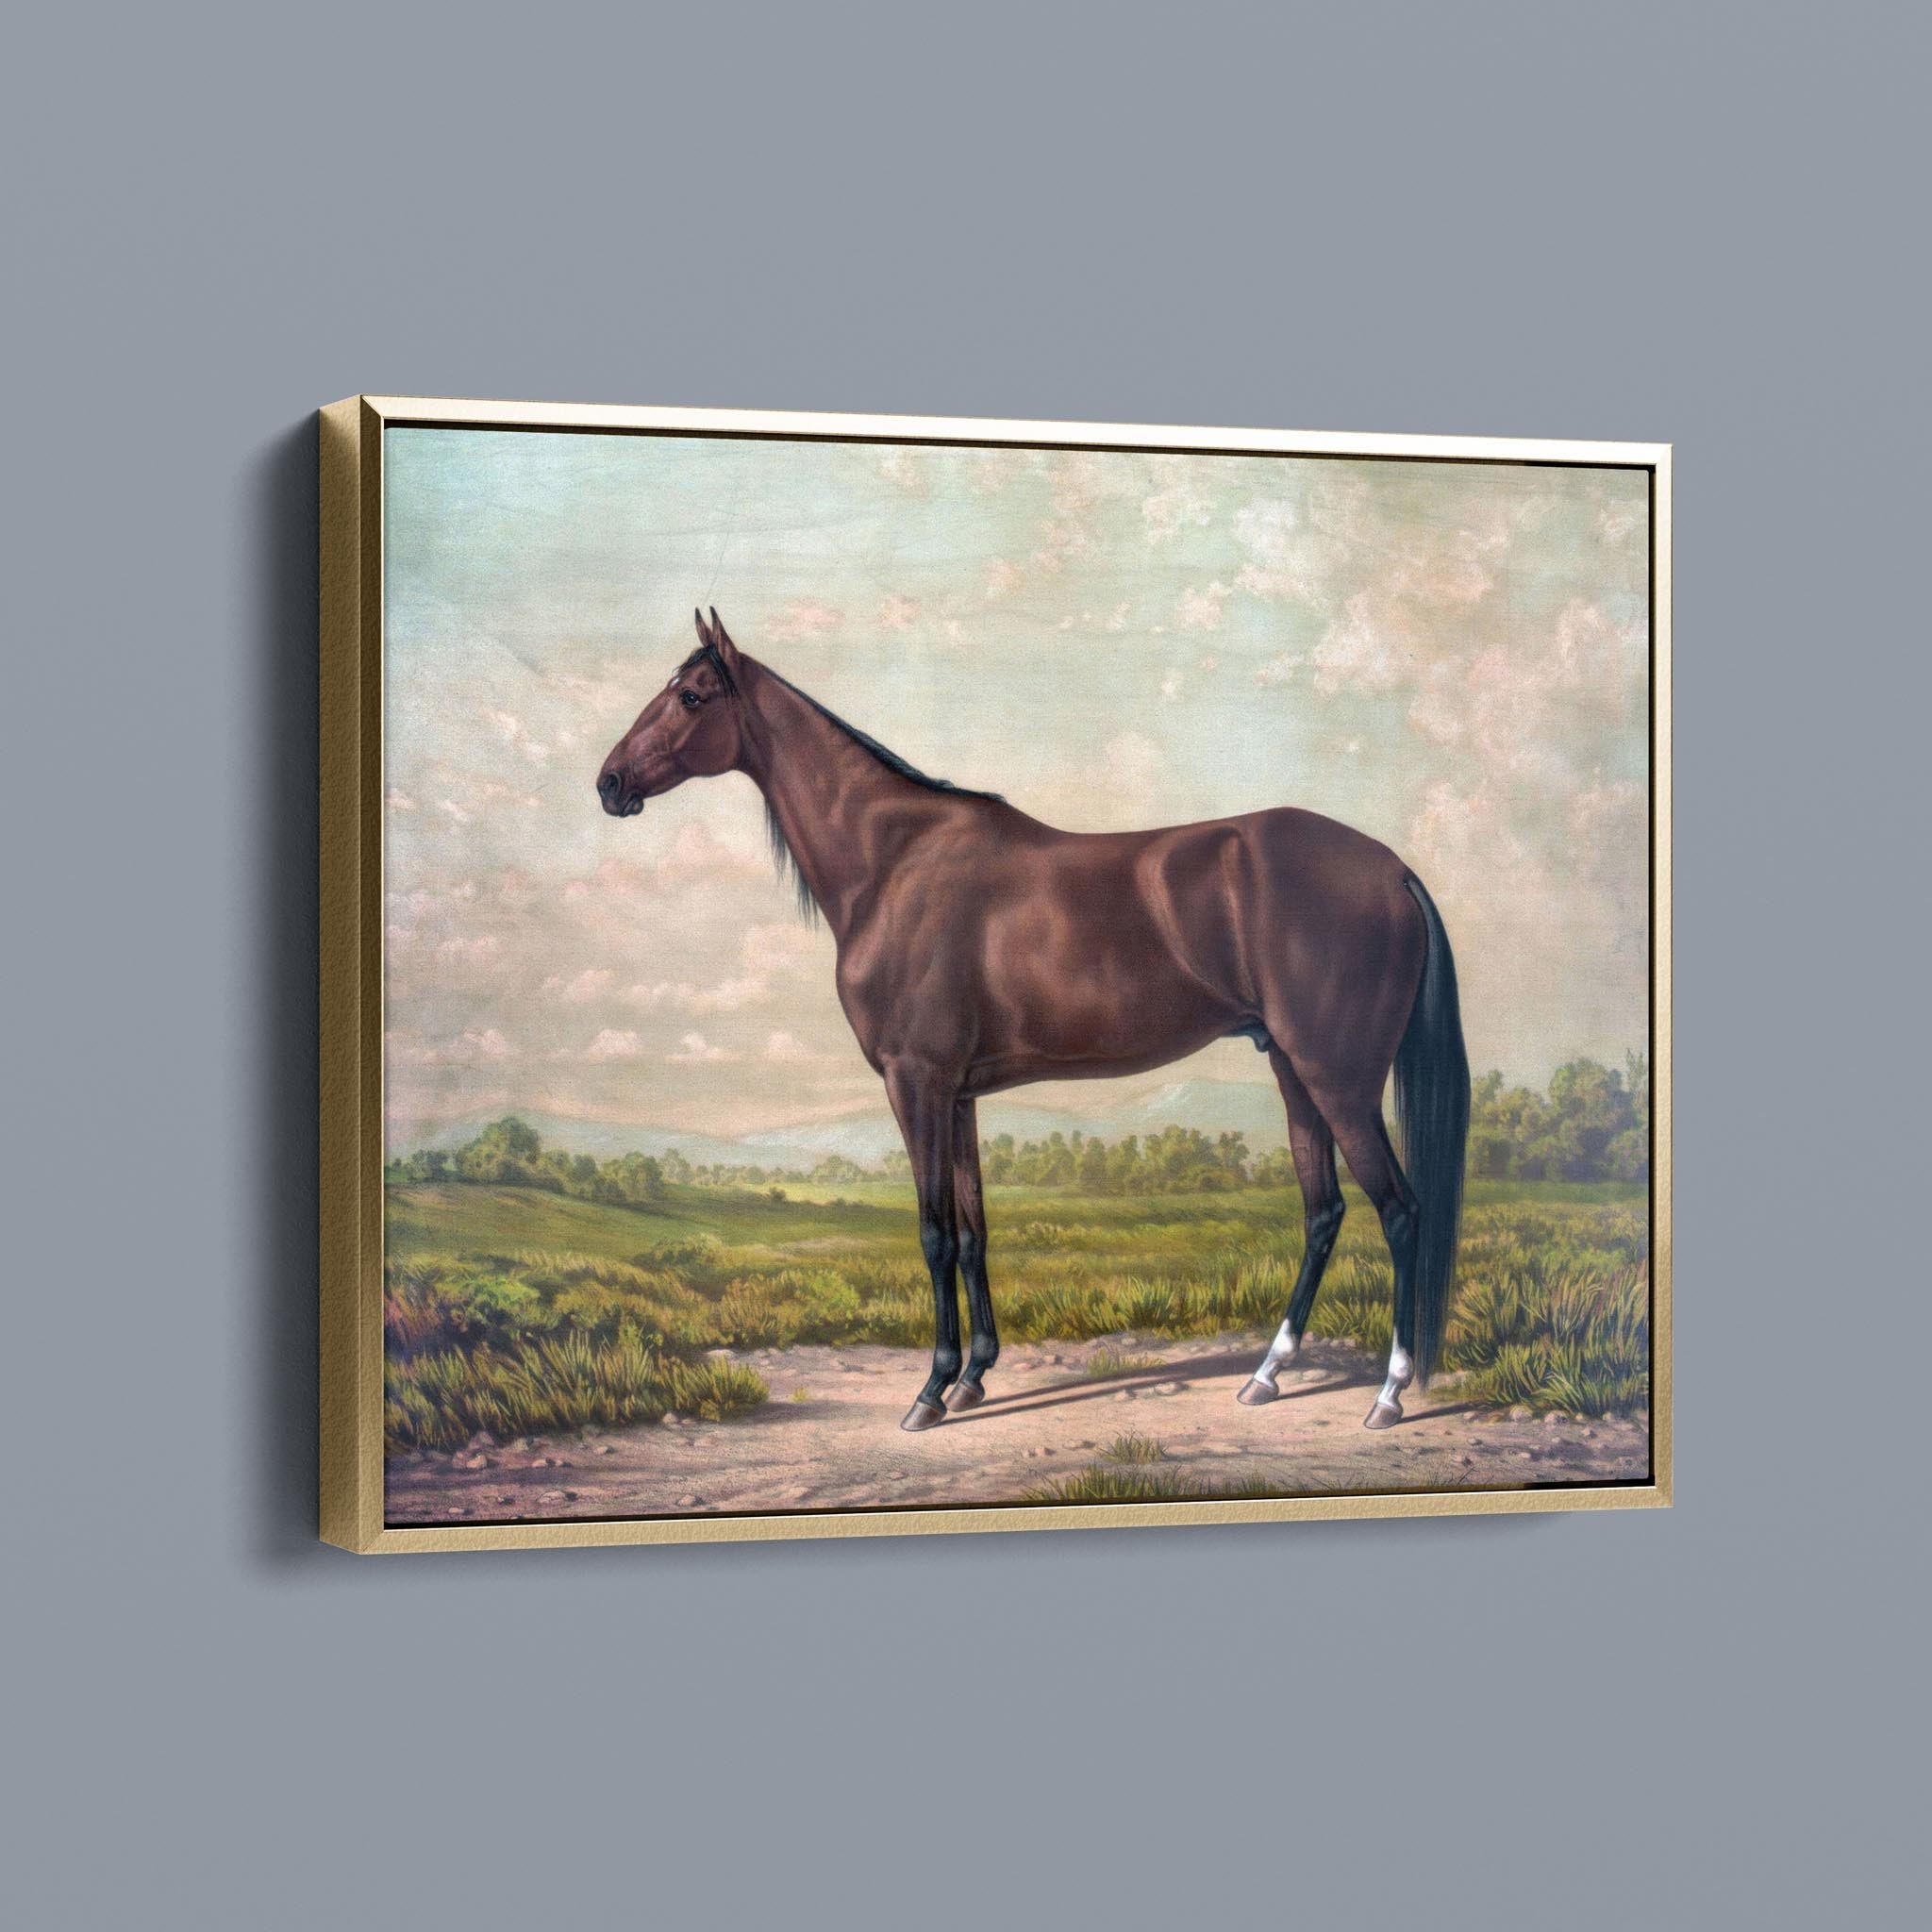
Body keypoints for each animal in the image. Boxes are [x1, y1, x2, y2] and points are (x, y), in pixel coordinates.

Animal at [599, 610, 1470, 1434]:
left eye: (691, 696)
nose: (609, 783)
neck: (894, 864)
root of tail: (1392, 868)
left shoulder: (915, 1084)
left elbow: (934, 1233)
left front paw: (930, 1392)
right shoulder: (958, 1096)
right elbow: (975, 1230)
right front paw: (974, 1375)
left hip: (1339, 1080)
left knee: (1399, 1211)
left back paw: (1389, 1393)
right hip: (1293, 1072)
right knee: (1324, 1213)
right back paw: (1266, 1375)